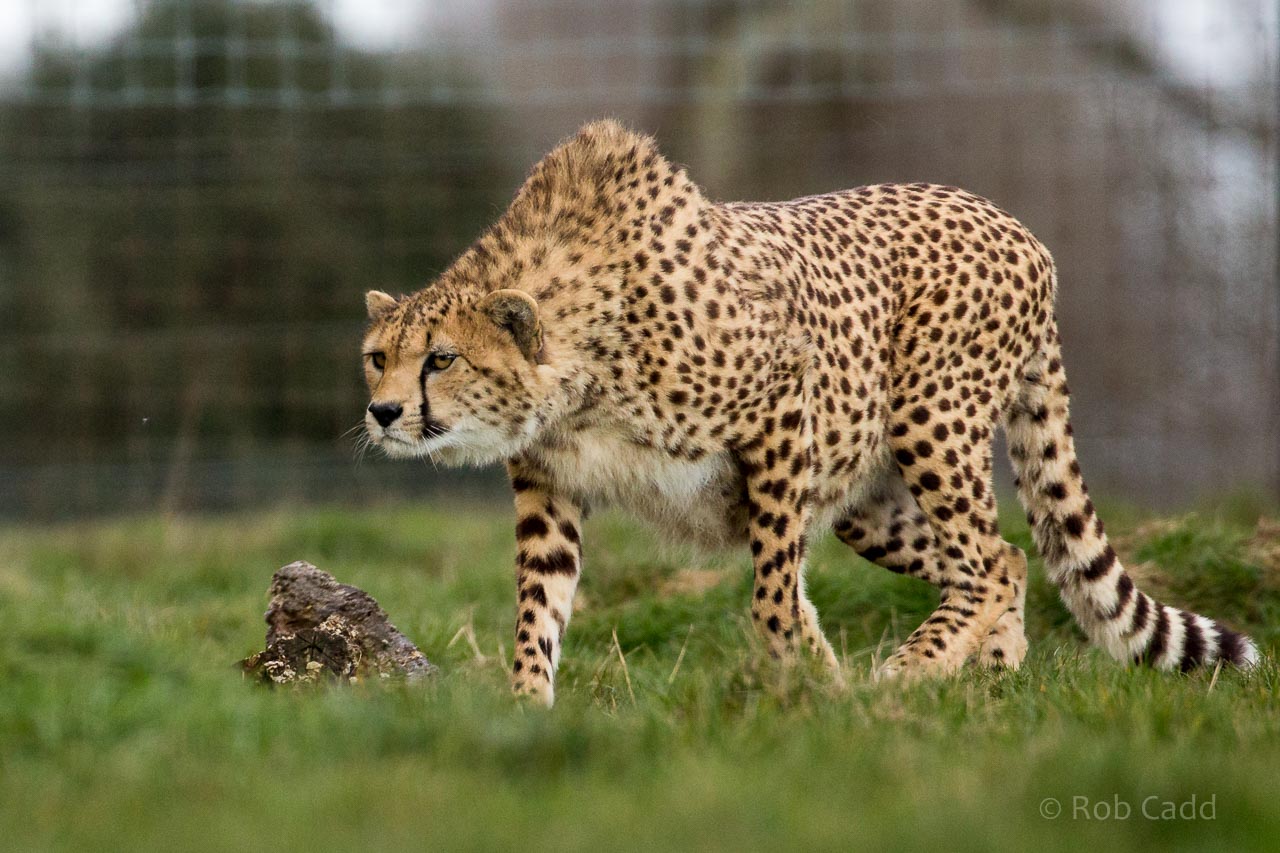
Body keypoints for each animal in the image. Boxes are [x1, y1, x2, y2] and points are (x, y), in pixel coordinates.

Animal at [359, 119, 1258, 706]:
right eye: (377, 355)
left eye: (441, 358)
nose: (382, 411)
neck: (577, 376)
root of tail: (1020, 228)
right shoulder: (550, 487)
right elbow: (536, 608)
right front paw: (526, 709)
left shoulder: (783, 402)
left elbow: (773, 585)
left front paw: (801, 688)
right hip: (869, 500)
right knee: (999, 559)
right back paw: (986, 676)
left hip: (929, 419)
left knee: (988, 557)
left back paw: (910, 674)